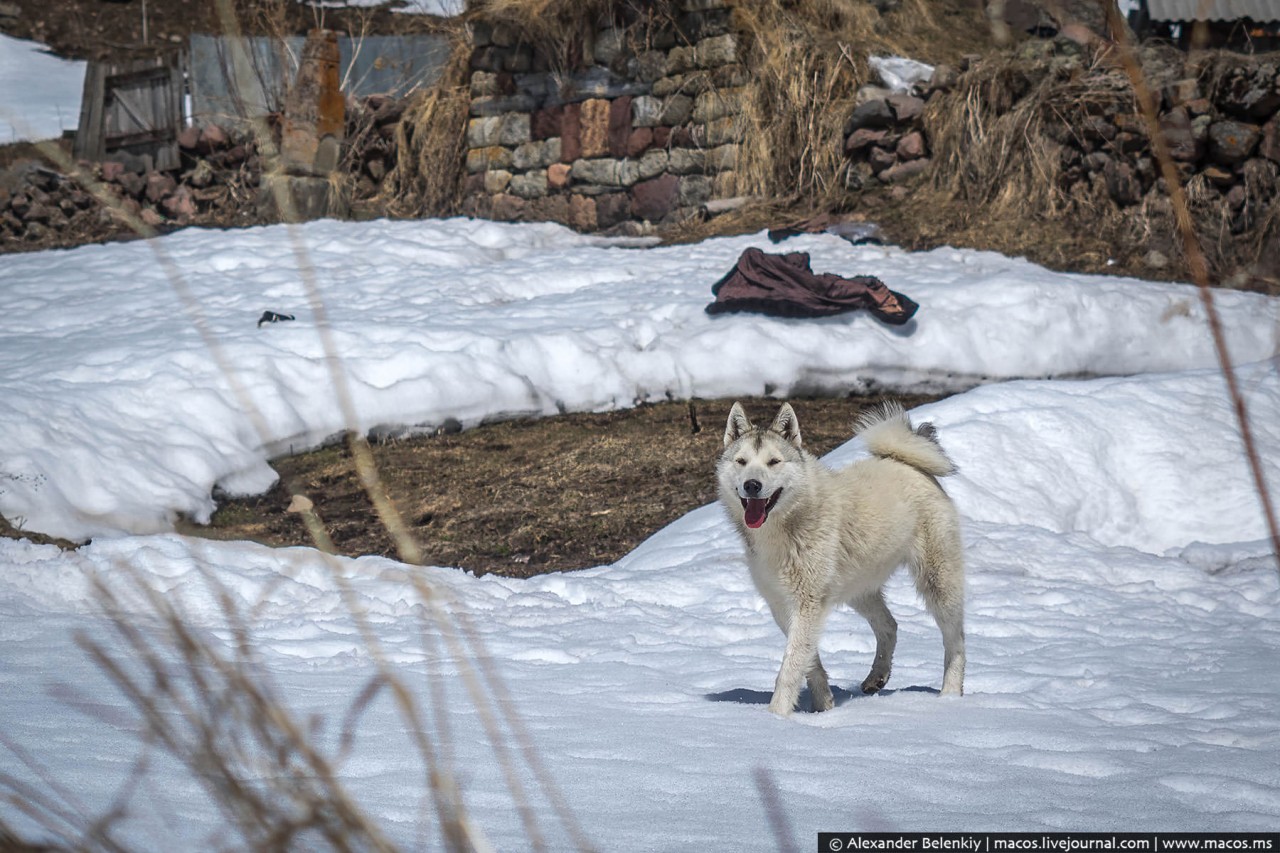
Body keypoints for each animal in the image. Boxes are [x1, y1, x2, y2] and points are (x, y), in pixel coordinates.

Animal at [721, 402, 962, 712]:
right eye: (741, 461)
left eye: (774, 462)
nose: (752, 485)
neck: (785, 525)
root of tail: (909, 463)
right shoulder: (783, 605)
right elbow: (808, 659)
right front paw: (823, 705)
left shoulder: (807, 603)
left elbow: (791, 665)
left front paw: (776, 715)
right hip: (859, 589)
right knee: (889, 625)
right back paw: (877, 678)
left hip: (938, 583)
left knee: (955, 639)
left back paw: (951, 695)